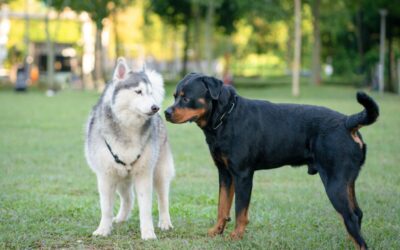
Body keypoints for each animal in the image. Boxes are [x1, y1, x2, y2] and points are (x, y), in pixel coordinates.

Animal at [85, 57, 174, 239]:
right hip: (121, 177)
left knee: (163, 199)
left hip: (159, 172)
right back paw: (120, 219)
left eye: (150, 93)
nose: (155, 107)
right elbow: (106, 208)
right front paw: (103, 230)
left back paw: (165, 222)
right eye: (138, 92)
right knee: (128, 198)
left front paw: (148, 233)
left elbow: (146, 208)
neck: (128, 126)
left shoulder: (144, 174)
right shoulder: (106, 176)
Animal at [165, 72, 378, 248]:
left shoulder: (243, 175)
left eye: (186, 97)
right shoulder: (225, 173)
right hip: (346, 181)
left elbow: (240, 210)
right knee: (357, 214)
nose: (166, 112)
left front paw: (236, 236)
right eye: (175, 96)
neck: (225, 117)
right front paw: (217, 230)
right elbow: (222, 205)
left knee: (350, 216)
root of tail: (347, 122)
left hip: (334, 182)